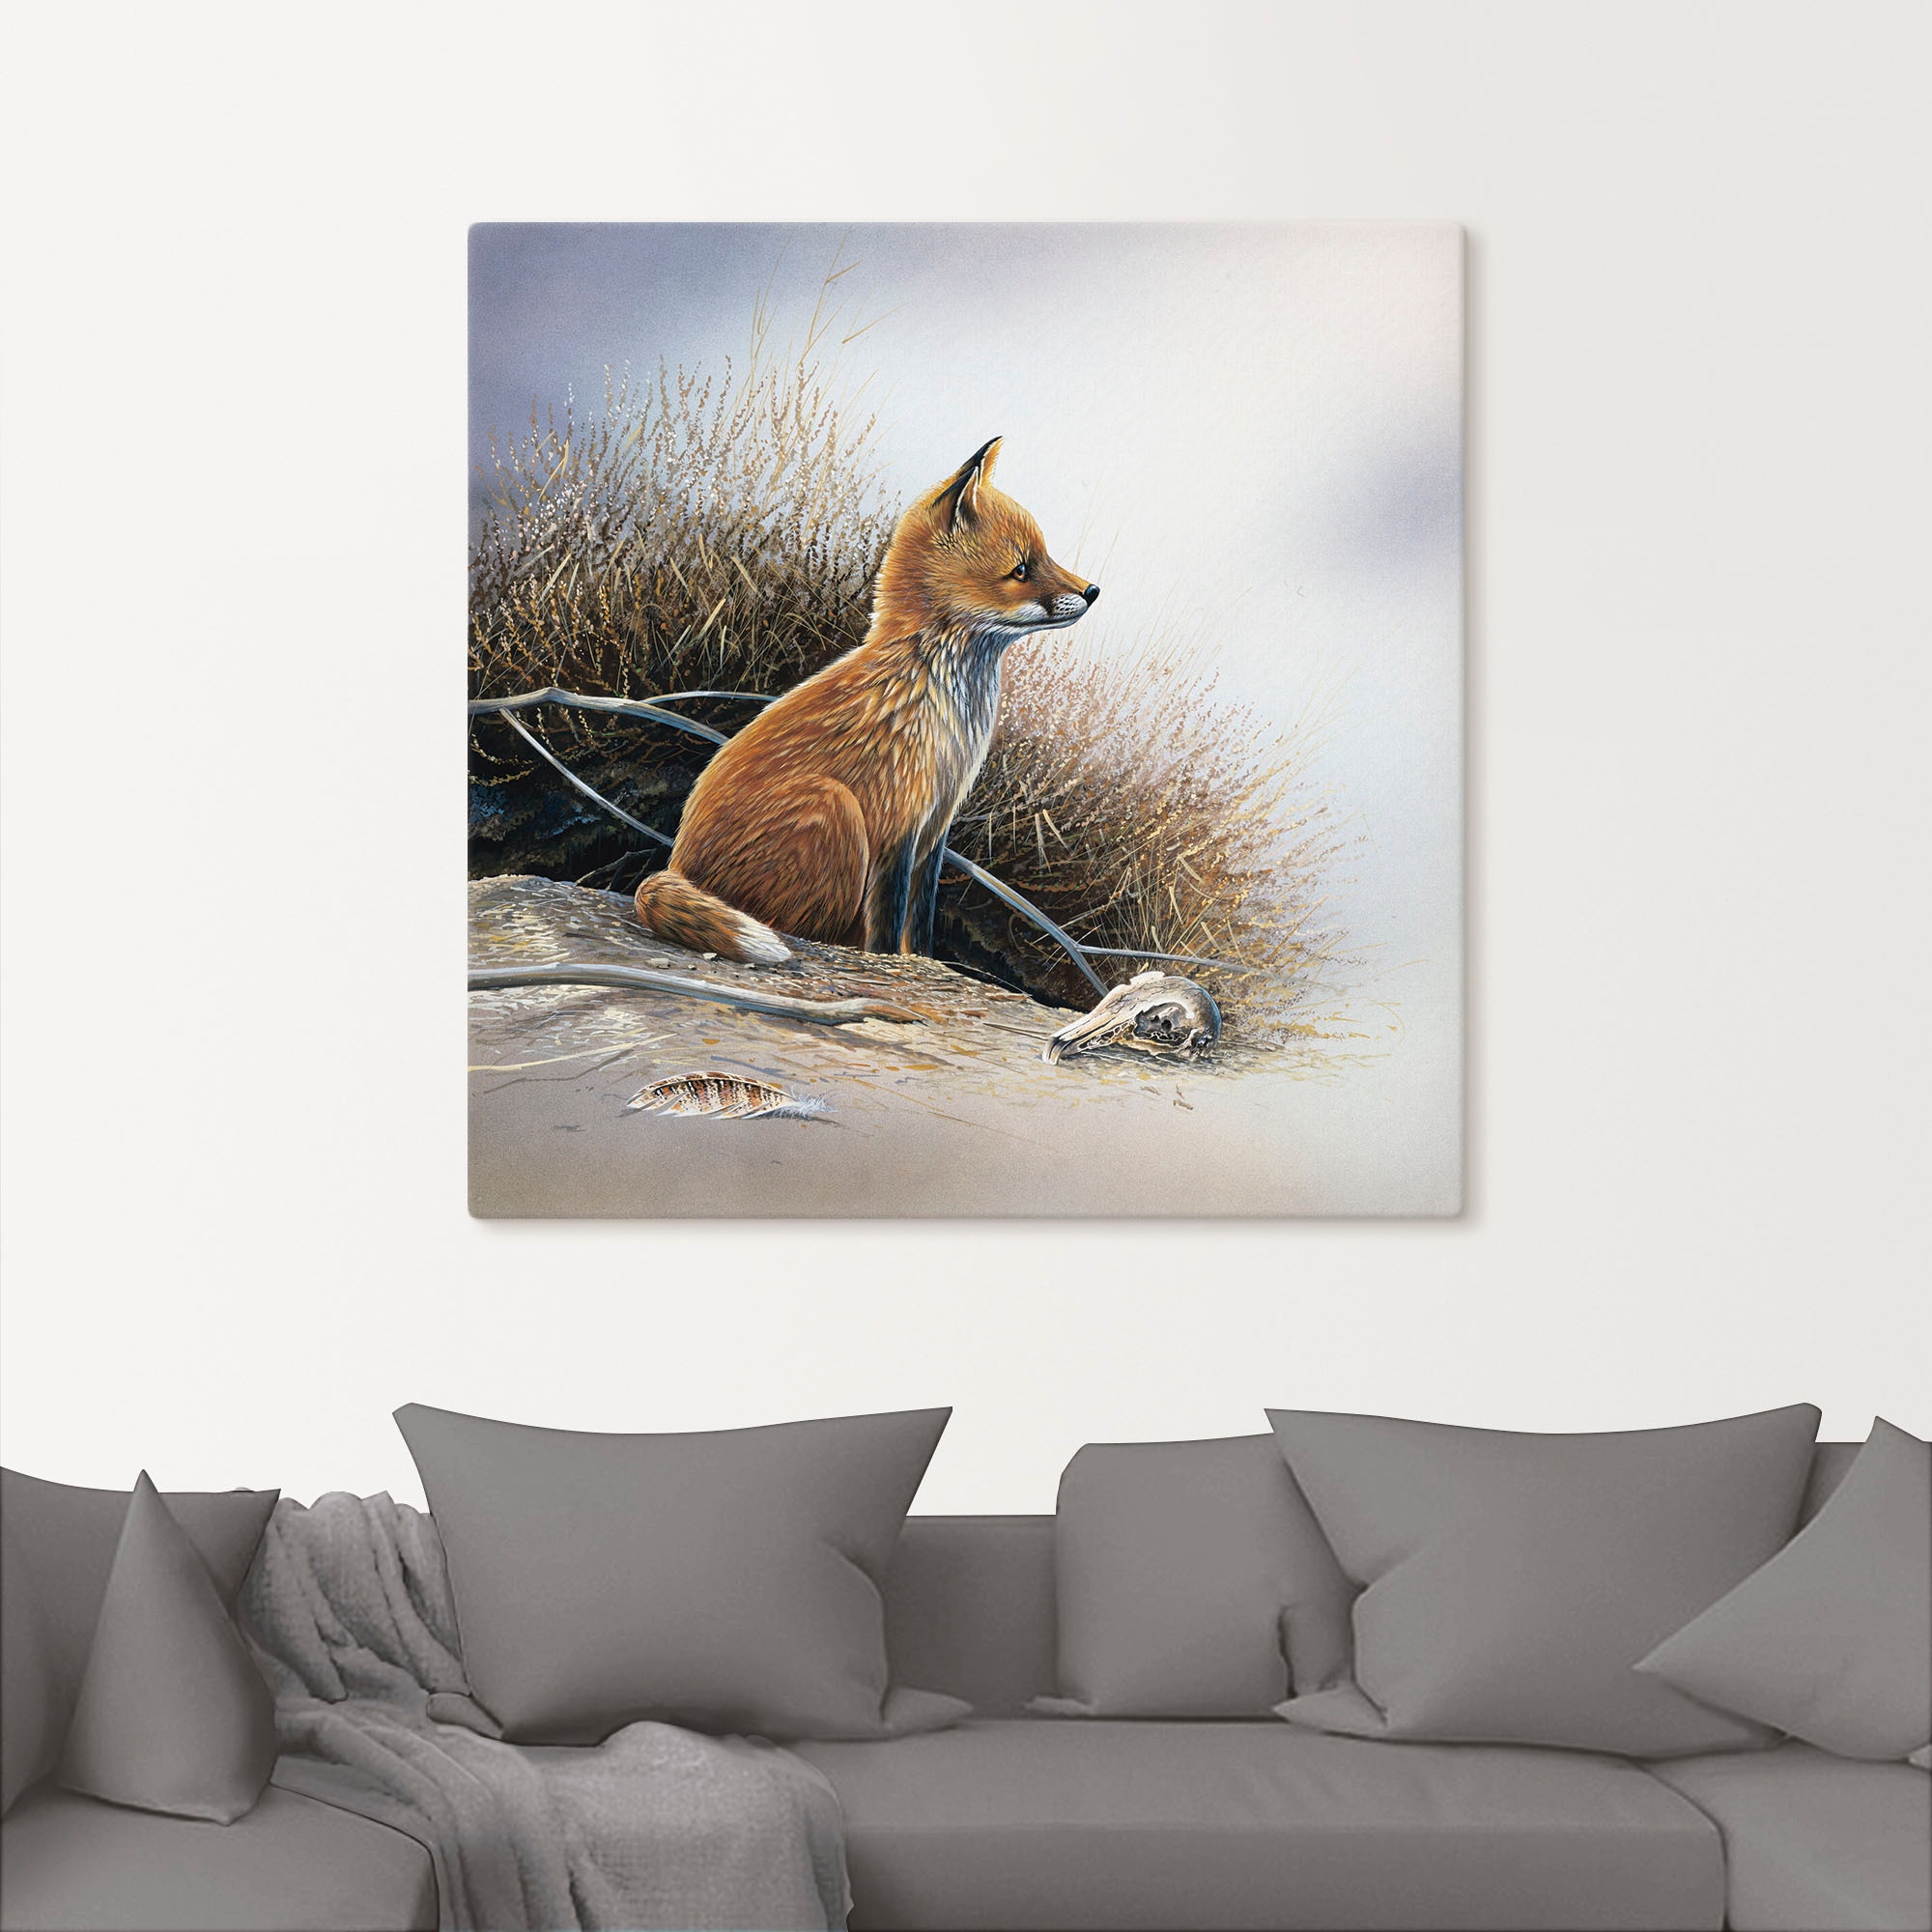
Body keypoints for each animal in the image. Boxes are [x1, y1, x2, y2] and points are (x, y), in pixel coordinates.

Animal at [634, 438, 1099, 964]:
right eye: (1021, 569)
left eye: (1045, 555)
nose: (1092, 591)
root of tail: (676, 863)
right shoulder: (898, 827)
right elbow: (888, 927)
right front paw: (891, 964)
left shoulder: (935, 831)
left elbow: (920, 924)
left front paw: (923, 963)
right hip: (835, 809)